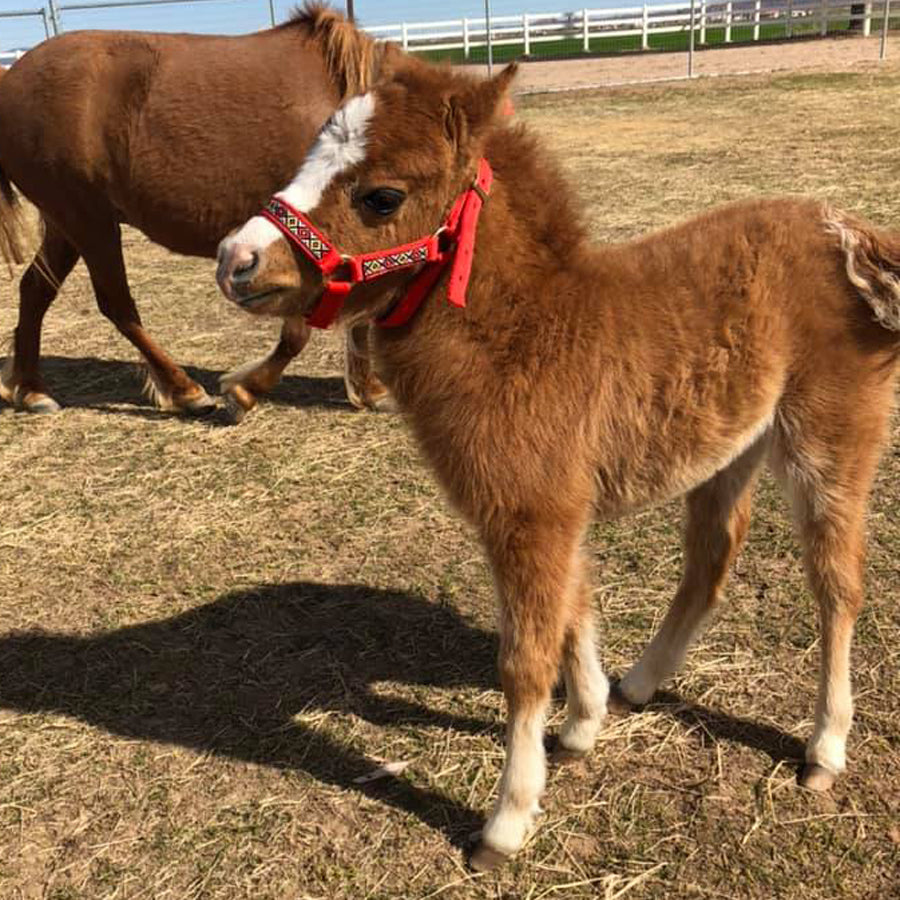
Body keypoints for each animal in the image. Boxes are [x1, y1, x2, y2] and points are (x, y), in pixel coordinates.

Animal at [0, 3, 393, 419]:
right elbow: (297, 332)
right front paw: (244, 391)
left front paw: (370, 389)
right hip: (89, 222)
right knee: (116, 304)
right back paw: (183, 390)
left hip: (67, 226)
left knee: (35, 290)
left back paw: (30, 389)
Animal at [215, 60, 900, 868]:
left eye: (381, 195)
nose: (235, 259)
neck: (524, 333)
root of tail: (854, 233)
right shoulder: (550, 510)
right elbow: (576, 604)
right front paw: (583, 724)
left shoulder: (532, 515)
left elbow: (525, 661)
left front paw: (508, 819)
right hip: (731, 444)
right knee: (712, 558)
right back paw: (641, 684)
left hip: (831, 436)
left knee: (837, 583)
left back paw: (824, 750)